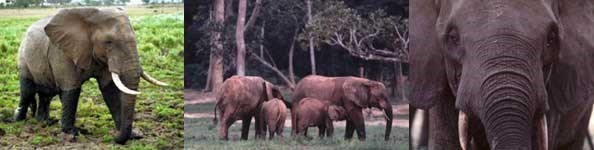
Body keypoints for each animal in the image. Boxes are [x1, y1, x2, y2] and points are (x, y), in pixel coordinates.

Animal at [12, 7, 169, 145]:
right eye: (109, 42)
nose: (113, 138)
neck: (92, 17)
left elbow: (110, 90)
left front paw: (134, 135)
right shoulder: (62, 52)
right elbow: (71, 90)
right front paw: (72, 133)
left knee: (47, 95)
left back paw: (45, 122)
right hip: (23, 58)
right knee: (27, 91)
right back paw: (18, 121)